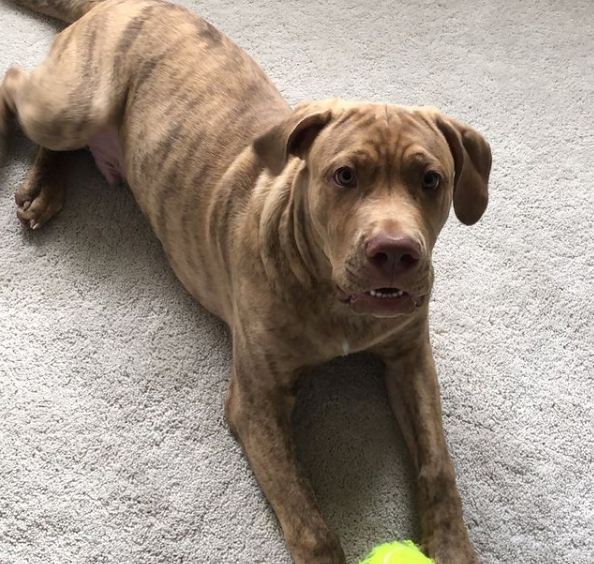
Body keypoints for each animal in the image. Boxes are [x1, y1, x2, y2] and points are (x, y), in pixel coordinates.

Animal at [0, 2, 490, 560]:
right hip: (74, 106)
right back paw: (30, 172)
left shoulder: (410, 356)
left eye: (431, 180)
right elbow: (308, 519)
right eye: (344, 176)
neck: (335, 301)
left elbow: (438, 462)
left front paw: (452, 546)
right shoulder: (258, 399)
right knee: (14, 83)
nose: (395, 252)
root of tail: (117, 5)